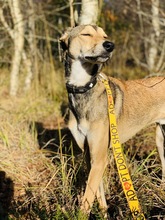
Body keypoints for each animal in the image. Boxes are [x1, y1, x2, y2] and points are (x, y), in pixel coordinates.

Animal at [60, 24, 165, 216]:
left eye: (105, 35)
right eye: (86, 34)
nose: (110, 45)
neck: (84, 88)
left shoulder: (100, 157)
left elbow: (86, 201)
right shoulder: (91, 157)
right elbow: (98, 193)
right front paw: (104, 214)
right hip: (160, 140)